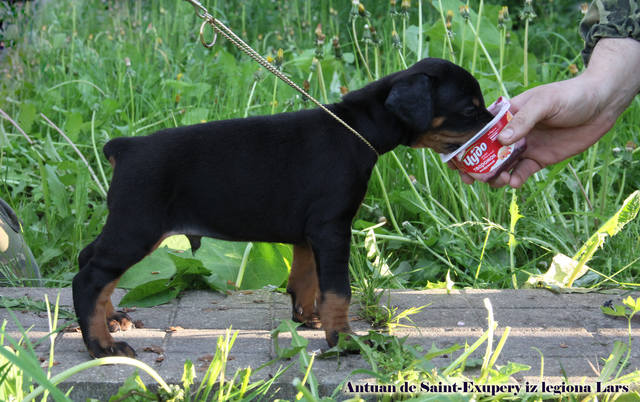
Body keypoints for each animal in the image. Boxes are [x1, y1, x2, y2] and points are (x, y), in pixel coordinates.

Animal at [75, 58, 496, 356]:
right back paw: (101, 346)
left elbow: (307, 278)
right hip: (138, 226)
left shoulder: (311, 233)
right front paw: (345, 339)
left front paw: (308, 318)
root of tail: (125, 146)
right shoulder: (332, 228)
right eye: (470, 109)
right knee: (89, 277)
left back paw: (111, 319)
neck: (356, 128)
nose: (499, 125)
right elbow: (337, 290)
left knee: (89, 261)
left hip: (129, 225)